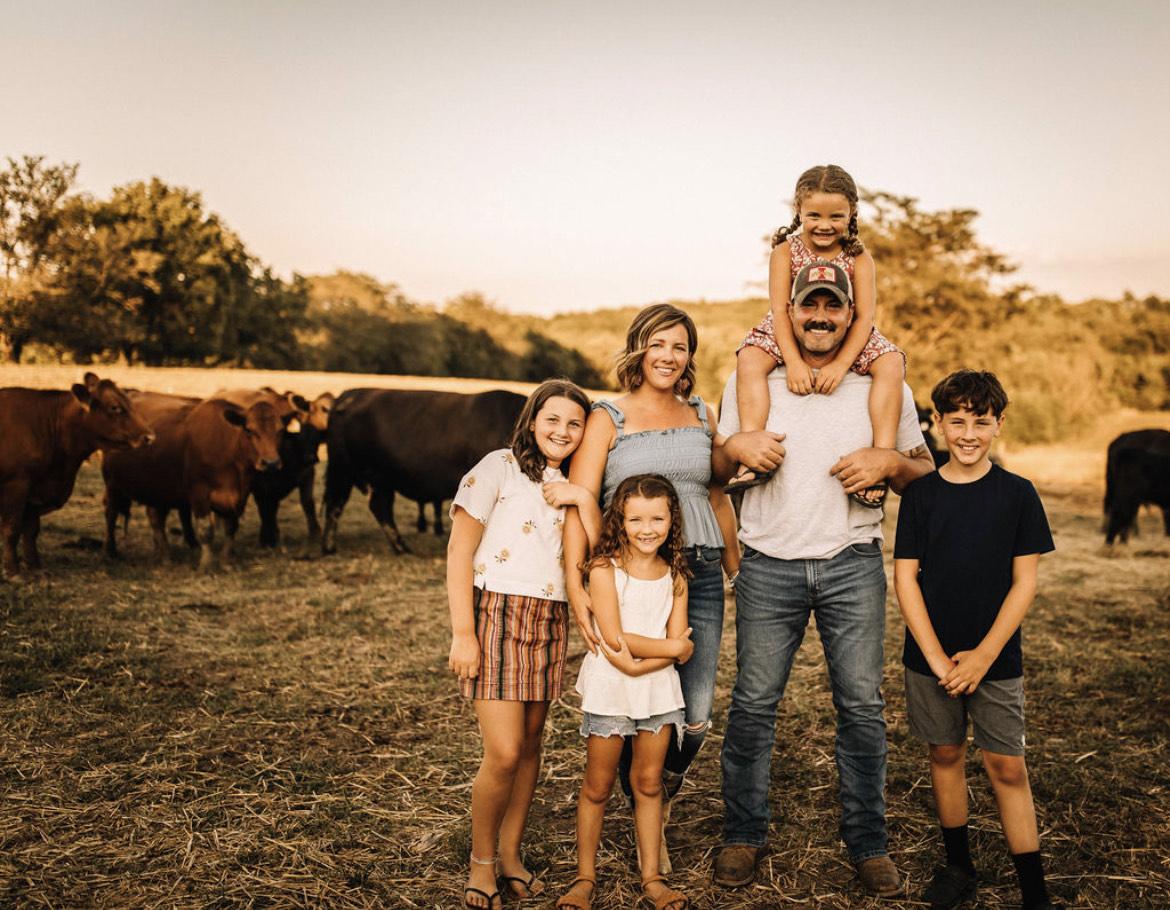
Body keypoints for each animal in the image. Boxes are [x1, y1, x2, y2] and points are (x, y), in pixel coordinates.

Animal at [0, 369, 153, 575]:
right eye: (114, 407)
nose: (149, 436)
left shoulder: (35, 490)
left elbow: (31, 530)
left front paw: (35, 567)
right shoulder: (16, 485)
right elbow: (12, 529)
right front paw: (13, 571)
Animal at [104, 395, 287, 570]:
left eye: (280, 430)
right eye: (249, 430)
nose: (271, 463)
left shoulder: (240, 496)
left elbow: (231, 528)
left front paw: (225, 562)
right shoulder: (199, 493)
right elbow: (206, 530)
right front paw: (205, 564)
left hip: (158, 490)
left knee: (156, 519)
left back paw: (163, 556)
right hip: (112, 484)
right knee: (111, 513)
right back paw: (112, 552)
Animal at [320, 383, 521, 552]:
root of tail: (352, 394)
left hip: (381, 479)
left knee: (379, 506)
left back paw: (400, 546)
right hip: (343, 470)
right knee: (336, 504)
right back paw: (330, 547)